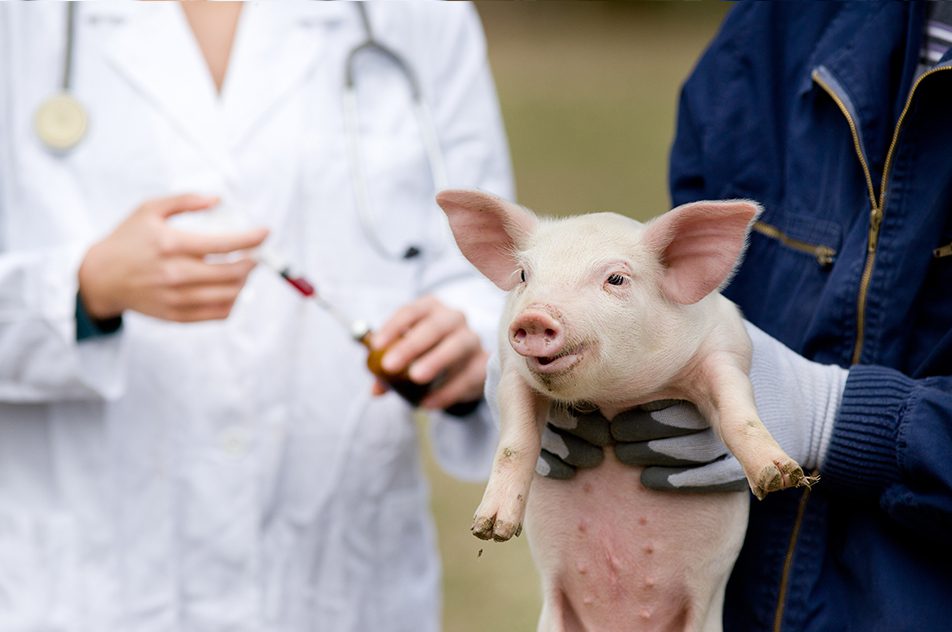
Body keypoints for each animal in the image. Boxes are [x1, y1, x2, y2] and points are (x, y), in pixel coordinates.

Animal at [435, 189, 811, 632]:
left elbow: (740, 416)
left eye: (616, 279)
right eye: (525, 275)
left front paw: (781, 477)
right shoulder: (512, 372)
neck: (614, 400)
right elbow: (515, 444)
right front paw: (489, 528)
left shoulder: (726, 350)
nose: (535, 316)